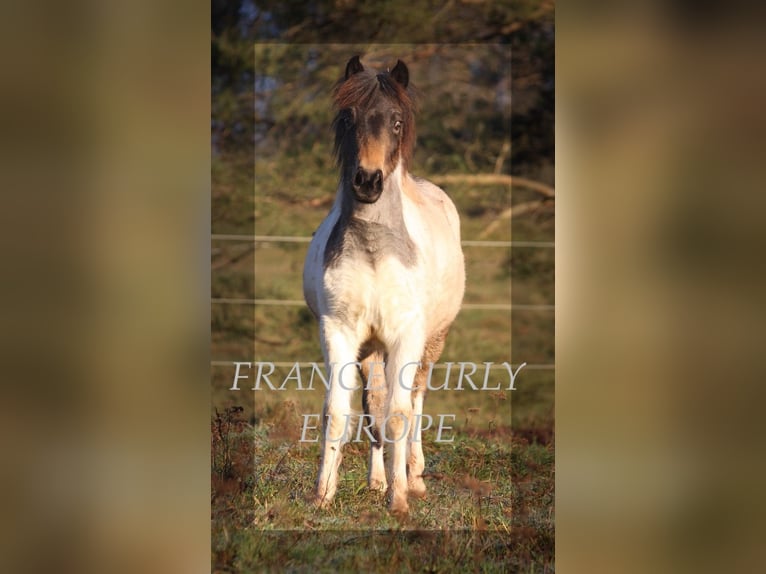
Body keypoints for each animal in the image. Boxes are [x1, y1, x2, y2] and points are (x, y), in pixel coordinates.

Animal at [304, 57, 464, 516]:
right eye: (348, 117)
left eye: (396, 121)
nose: (367, 181)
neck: (375, 249)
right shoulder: (339, 332)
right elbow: (340, 412)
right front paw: (323, 495)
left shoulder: (407, 335)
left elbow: (399, 413)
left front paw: (400, 499)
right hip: (371, 348)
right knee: (373, 405)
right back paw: (378, 480)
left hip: (431, 340)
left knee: (415, 401)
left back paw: (414, 477)